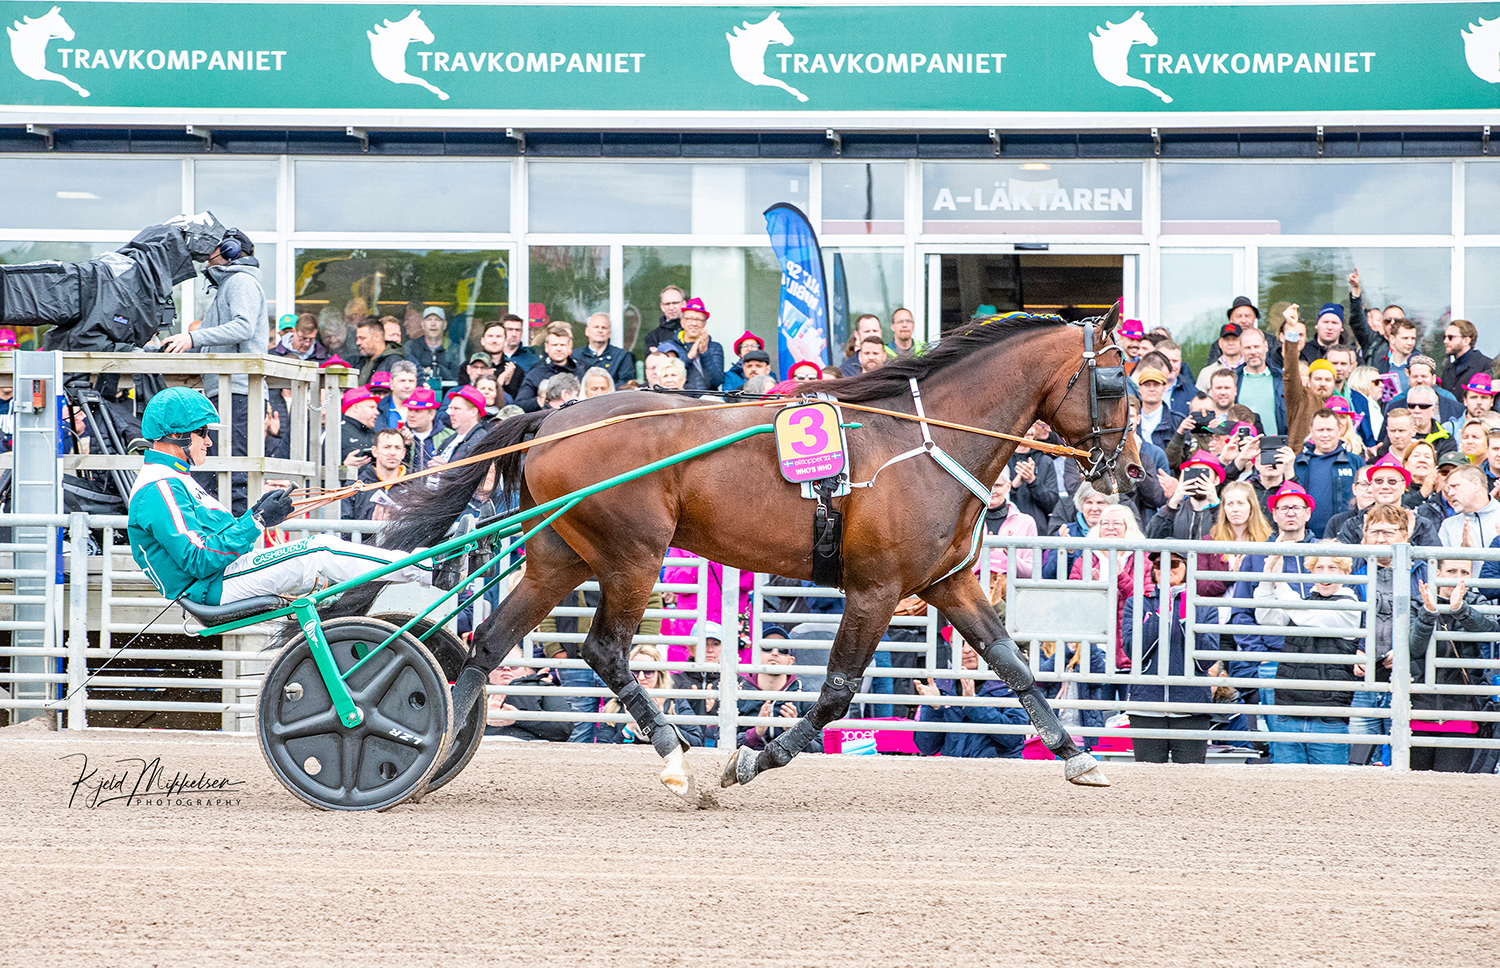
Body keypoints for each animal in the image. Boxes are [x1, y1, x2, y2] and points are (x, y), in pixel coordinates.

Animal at [375, 306, 1134, 798]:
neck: (923, 441)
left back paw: (436, 751)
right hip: (631, 554)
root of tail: (550, 418)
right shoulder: (876, 588)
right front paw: (752, 759)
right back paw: (673, 753)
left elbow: (1011, 662)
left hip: (563, 557)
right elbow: (836, 692)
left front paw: (1077, 756)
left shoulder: (948, 581)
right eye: (1113, 384)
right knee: (604, 650)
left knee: (489, 644)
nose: (1124, 470)